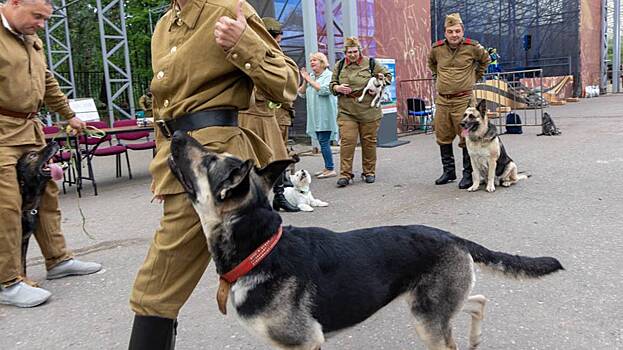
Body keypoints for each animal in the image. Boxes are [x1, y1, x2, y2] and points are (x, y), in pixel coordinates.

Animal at [167, 131, 564, 350]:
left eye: (209, 160)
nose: (175, 134)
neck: (260, 248)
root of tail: (452, 236)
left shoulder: (305, 344)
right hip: (431, 305)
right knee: (477, 300)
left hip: (428, 320)